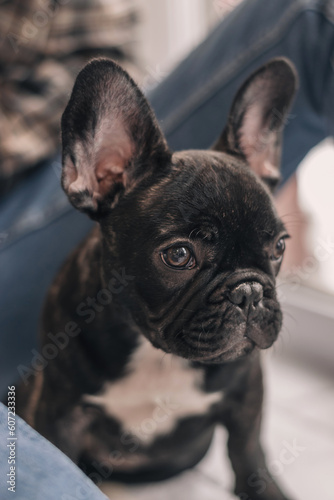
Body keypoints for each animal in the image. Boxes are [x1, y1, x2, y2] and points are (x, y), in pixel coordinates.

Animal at [16, 57, 298, 500]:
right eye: (179, 255)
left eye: (280, 247)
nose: (250, 291)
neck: (157, 355)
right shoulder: (60, 410)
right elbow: (60, 459)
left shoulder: (246, 392)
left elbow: (247, 449)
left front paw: (264, 489)